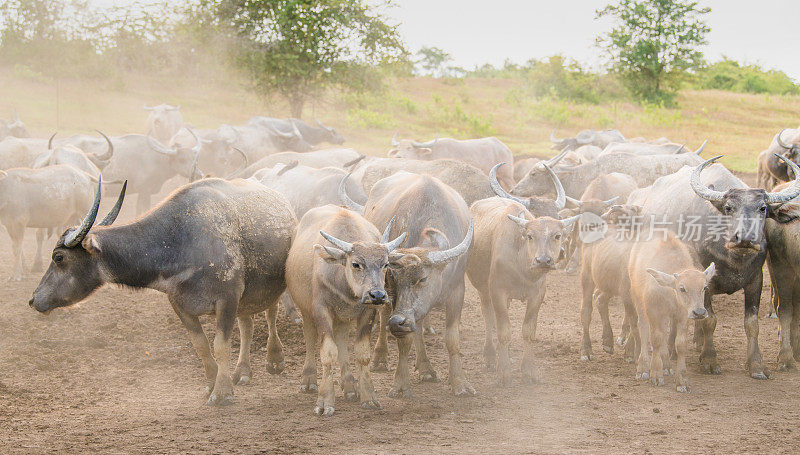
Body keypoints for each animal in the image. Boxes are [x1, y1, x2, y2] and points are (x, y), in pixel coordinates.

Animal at [28, 178, 298, 406]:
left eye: (59, 257)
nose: (33, 299)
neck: (180, 241)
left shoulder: (227, 299)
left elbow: (220, 346)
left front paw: (222, 393)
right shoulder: (179, 304)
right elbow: (201, 345)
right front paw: (211, 385)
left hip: (268, 286)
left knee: (270, 314)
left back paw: (274, 359)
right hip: (247, 297)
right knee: (247, 325)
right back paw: (242, 372)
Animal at [284, 207, 404, 416]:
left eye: (386, 264)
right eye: (356, 264)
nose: (378, 295)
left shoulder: (367, 312)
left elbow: (362, 353)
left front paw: (369, 396)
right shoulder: (321, 310)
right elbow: (328, 353)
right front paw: (325, 401)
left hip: (343, 317)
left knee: (341, 339)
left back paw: (349, 386)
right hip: (306, 310)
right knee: (310, 337)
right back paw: (309, 380)